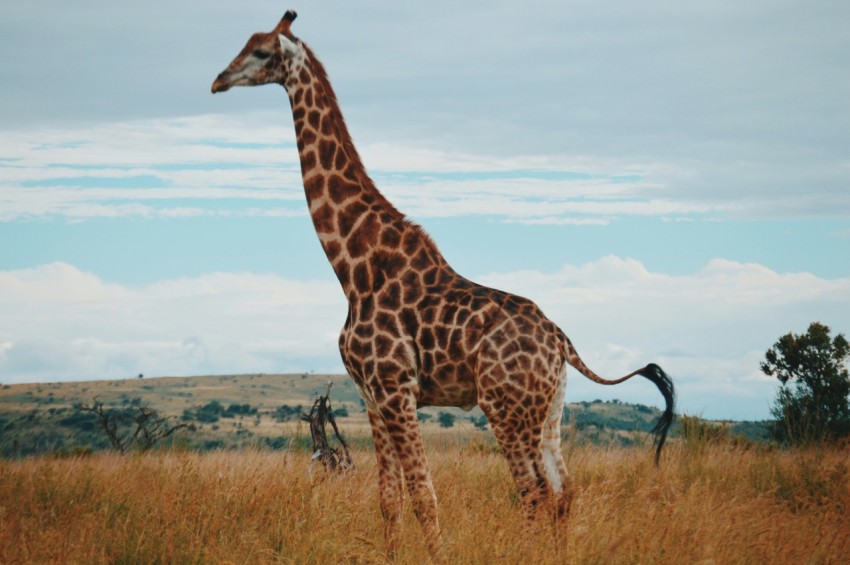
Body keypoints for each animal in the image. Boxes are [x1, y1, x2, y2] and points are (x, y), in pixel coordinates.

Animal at [212, 11, 674, 559]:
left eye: (261, 52)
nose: (217, 81)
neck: (355, 268)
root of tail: (562, 341)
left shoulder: (396, 389)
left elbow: (424, 497)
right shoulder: (371, 396)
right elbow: (388, 500)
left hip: (505, 407)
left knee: (534, 492)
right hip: (549, 410)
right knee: (565, 492)